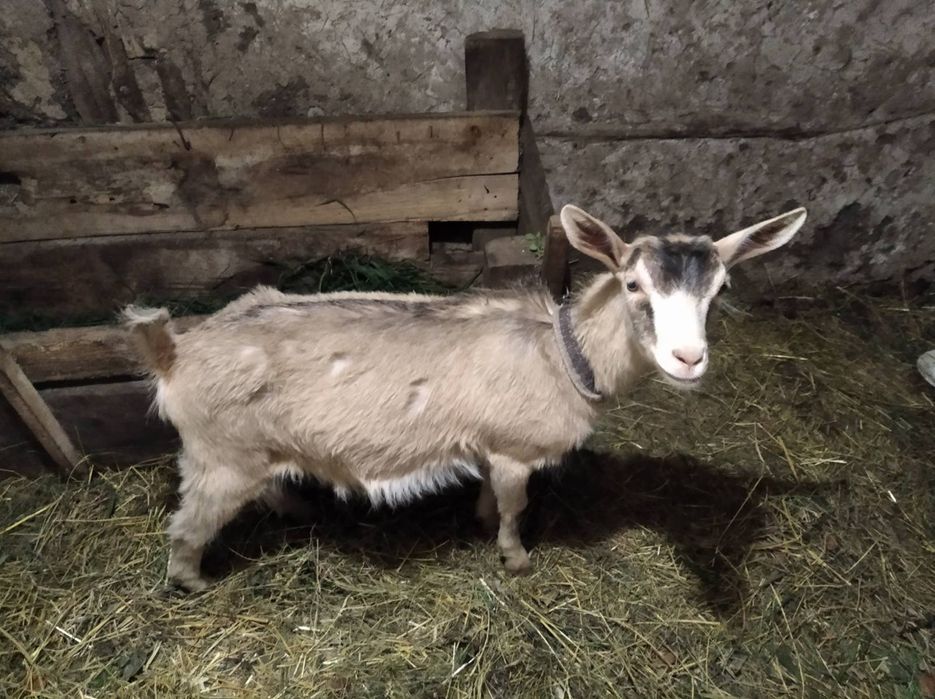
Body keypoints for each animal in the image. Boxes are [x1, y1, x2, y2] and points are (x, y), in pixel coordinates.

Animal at [125, 204, 806, 591]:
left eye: (720, 290)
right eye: (634, 284)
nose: (689, 359)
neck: (564, 354)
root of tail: (172, 350)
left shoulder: (490, 443)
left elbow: (488, 494)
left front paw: (479, 521)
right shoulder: (515, 449)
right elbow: (514, 507)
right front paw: (516, 560)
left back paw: (294, 509)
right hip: (220, 456)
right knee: (186, 526)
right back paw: (194, 584)